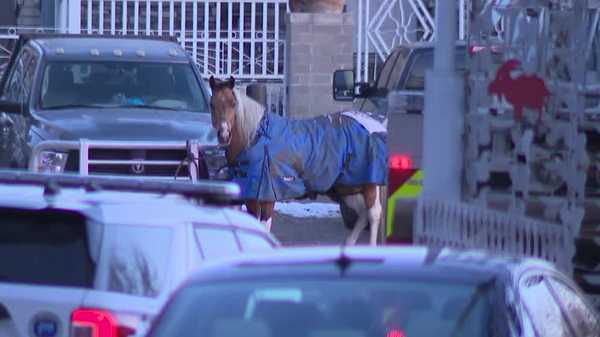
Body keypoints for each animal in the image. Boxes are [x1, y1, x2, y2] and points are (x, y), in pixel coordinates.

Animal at [211, 76, 386, 244]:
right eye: (212, 104)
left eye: (233, 103)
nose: (224, 134)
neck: (255, 138)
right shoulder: (249, 197)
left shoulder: (267, 197)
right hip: (348, 187)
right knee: (362, 214)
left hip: (369, 184)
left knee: (373, 213)